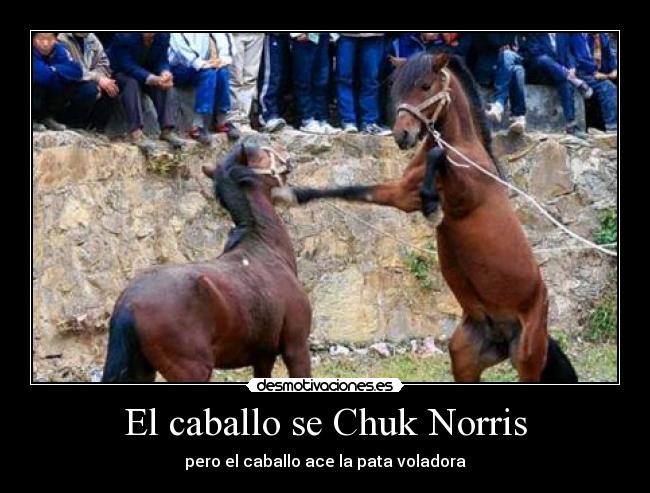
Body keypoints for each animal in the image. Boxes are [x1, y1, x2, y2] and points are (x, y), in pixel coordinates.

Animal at [102, 141, 312, 382]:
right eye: (261, 153)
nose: (287, 156)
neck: (264, 246)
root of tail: (127, 304)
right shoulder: (296, 347)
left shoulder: (263, 357)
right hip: (194, 369)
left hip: (143, 371)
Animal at [274, 53, 577, 383]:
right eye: (397, 87)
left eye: (425, 86)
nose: (402, 135)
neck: (466, 151)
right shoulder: (401, 193)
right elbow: (352, 190)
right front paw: (291, 194)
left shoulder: (463, 196)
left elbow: (437, 157)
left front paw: (432, 207)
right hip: (465, 356)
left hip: (527, 359)